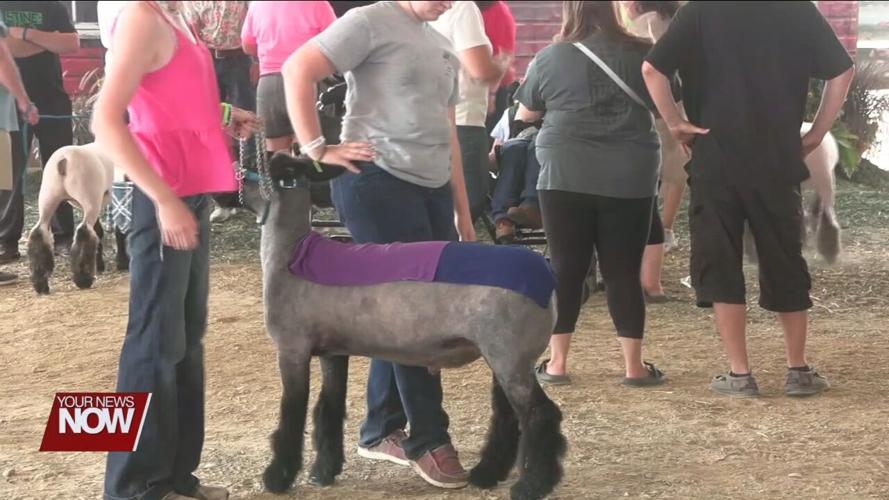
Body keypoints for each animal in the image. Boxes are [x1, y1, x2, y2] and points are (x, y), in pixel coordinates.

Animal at [27, 142, 128, 294]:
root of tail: (64, 160)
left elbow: (100, 231)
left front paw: (101, 265)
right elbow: (120, 230)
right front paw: (122, 263)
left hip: (48, 196)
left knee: (39, 232)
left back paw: (41, 284)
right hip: (89, 197)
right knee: (84, 231)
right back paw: (83, 279)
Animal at [240, 153, 567, 500]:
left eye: (254, 164)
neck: (290, 253)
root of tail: (547, 278)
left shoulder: (291, 348)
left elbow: (291, 413)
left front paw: (277, 477)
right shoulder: (333, 351)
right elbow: (328, 408)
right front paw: (324, 471)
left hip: (510, 354)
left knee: (540, 416)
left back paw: (531, 485)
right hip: (505, 355)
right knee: (508, 416)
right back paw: (486, 474)